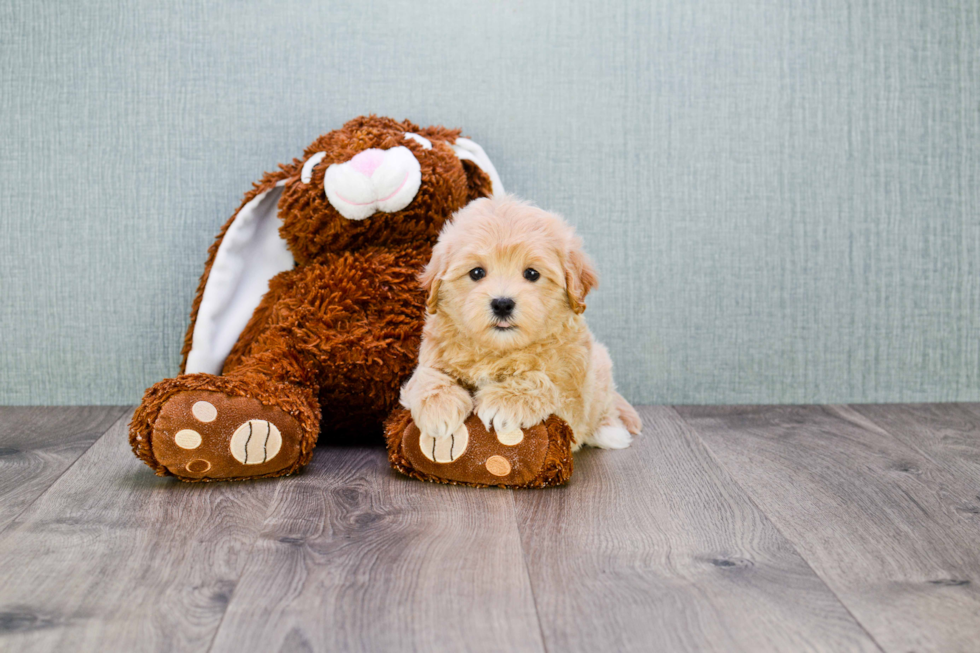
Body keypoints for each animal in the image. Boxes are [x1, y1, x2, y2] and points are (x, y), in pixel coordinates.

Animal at [400, 194, 644, 450]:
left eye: (532, 274)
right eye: (476, 273)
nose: (502, 304)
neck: (499, 350)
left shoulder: (573, 400)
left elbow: (547, 384)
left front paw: (503, 400)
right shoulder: (432, 353)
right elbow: (427, 375)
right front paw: (438, 406)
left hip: (601, 366)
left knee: (606, 405)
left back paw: (610, 431)